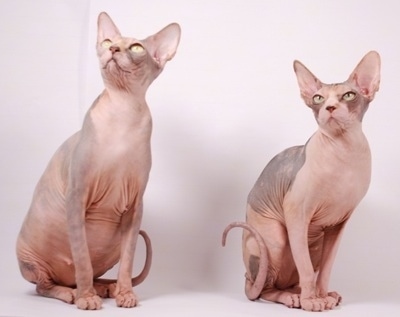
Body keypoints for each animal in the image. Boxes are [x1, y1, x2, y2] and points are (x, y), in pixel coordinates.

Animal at [16, 11, 181, 308]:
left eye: (136, 48)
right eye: (107, 42)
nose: (114, 49)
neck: (123, 112)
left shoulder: (134, 207)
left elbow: (128, 260)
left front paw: (126, 293)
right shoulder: (76, 198)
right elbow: (82, 258)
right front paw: (86, 299)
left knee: (95, 273)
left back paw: (107, 288)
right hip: (30, 259)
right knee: (45, 285)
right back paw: (73, 293)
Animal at [222, 51, 382, 312]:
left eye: (349, 95)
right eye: (318, 98)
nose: (329, 107)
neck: (344, 151)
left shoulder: (339, 223)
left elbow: (325, 269)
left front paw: (322, 295)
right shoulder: (297, 212)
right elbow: (306, 268)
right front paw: (311, 301)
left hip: (314, 242)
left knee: (288, 279)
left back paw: (304, 292)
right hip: (275, 241)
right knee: (263, 288)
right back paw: (293, 297)